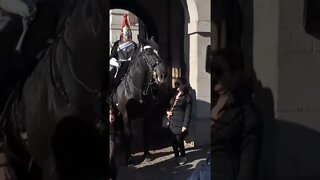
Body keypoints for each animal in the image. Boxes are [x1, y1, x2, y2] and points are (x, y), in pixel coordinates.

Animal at [109, 35, 166, 165]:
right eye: (148, 52)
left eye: (158, 51)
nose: (162, 75)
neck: (137, 89)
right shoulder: (126, 114)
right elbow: (128, 134)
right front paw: (129, 158)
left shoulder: (146, 113)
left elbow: (145, 132)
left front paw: (147, 155)